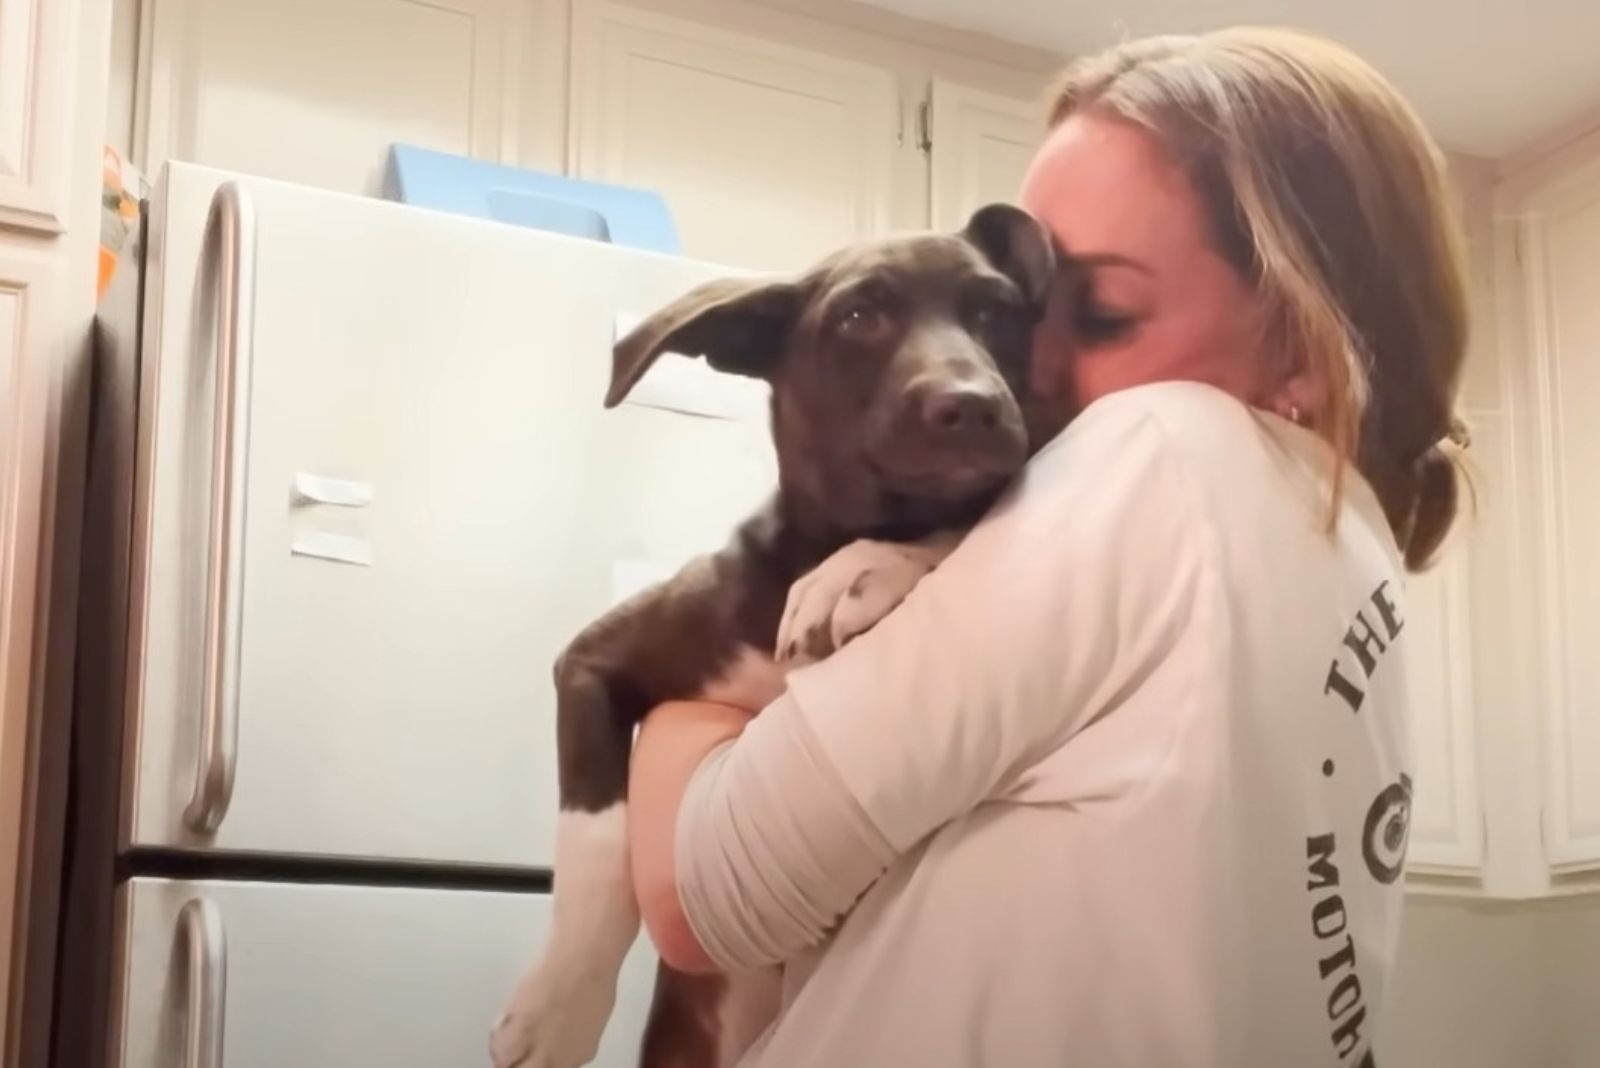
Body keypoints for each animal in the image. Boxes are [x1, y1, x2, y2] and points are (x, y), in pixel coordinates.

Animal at [492, 202, 1056, 1068]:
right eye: (859, 317)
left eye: (997, 311)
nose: (974, 404)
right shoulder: (592, 661)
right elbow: (597, 841)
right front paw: (560, 1010)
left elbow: (957, 522)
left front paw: (866, 569)